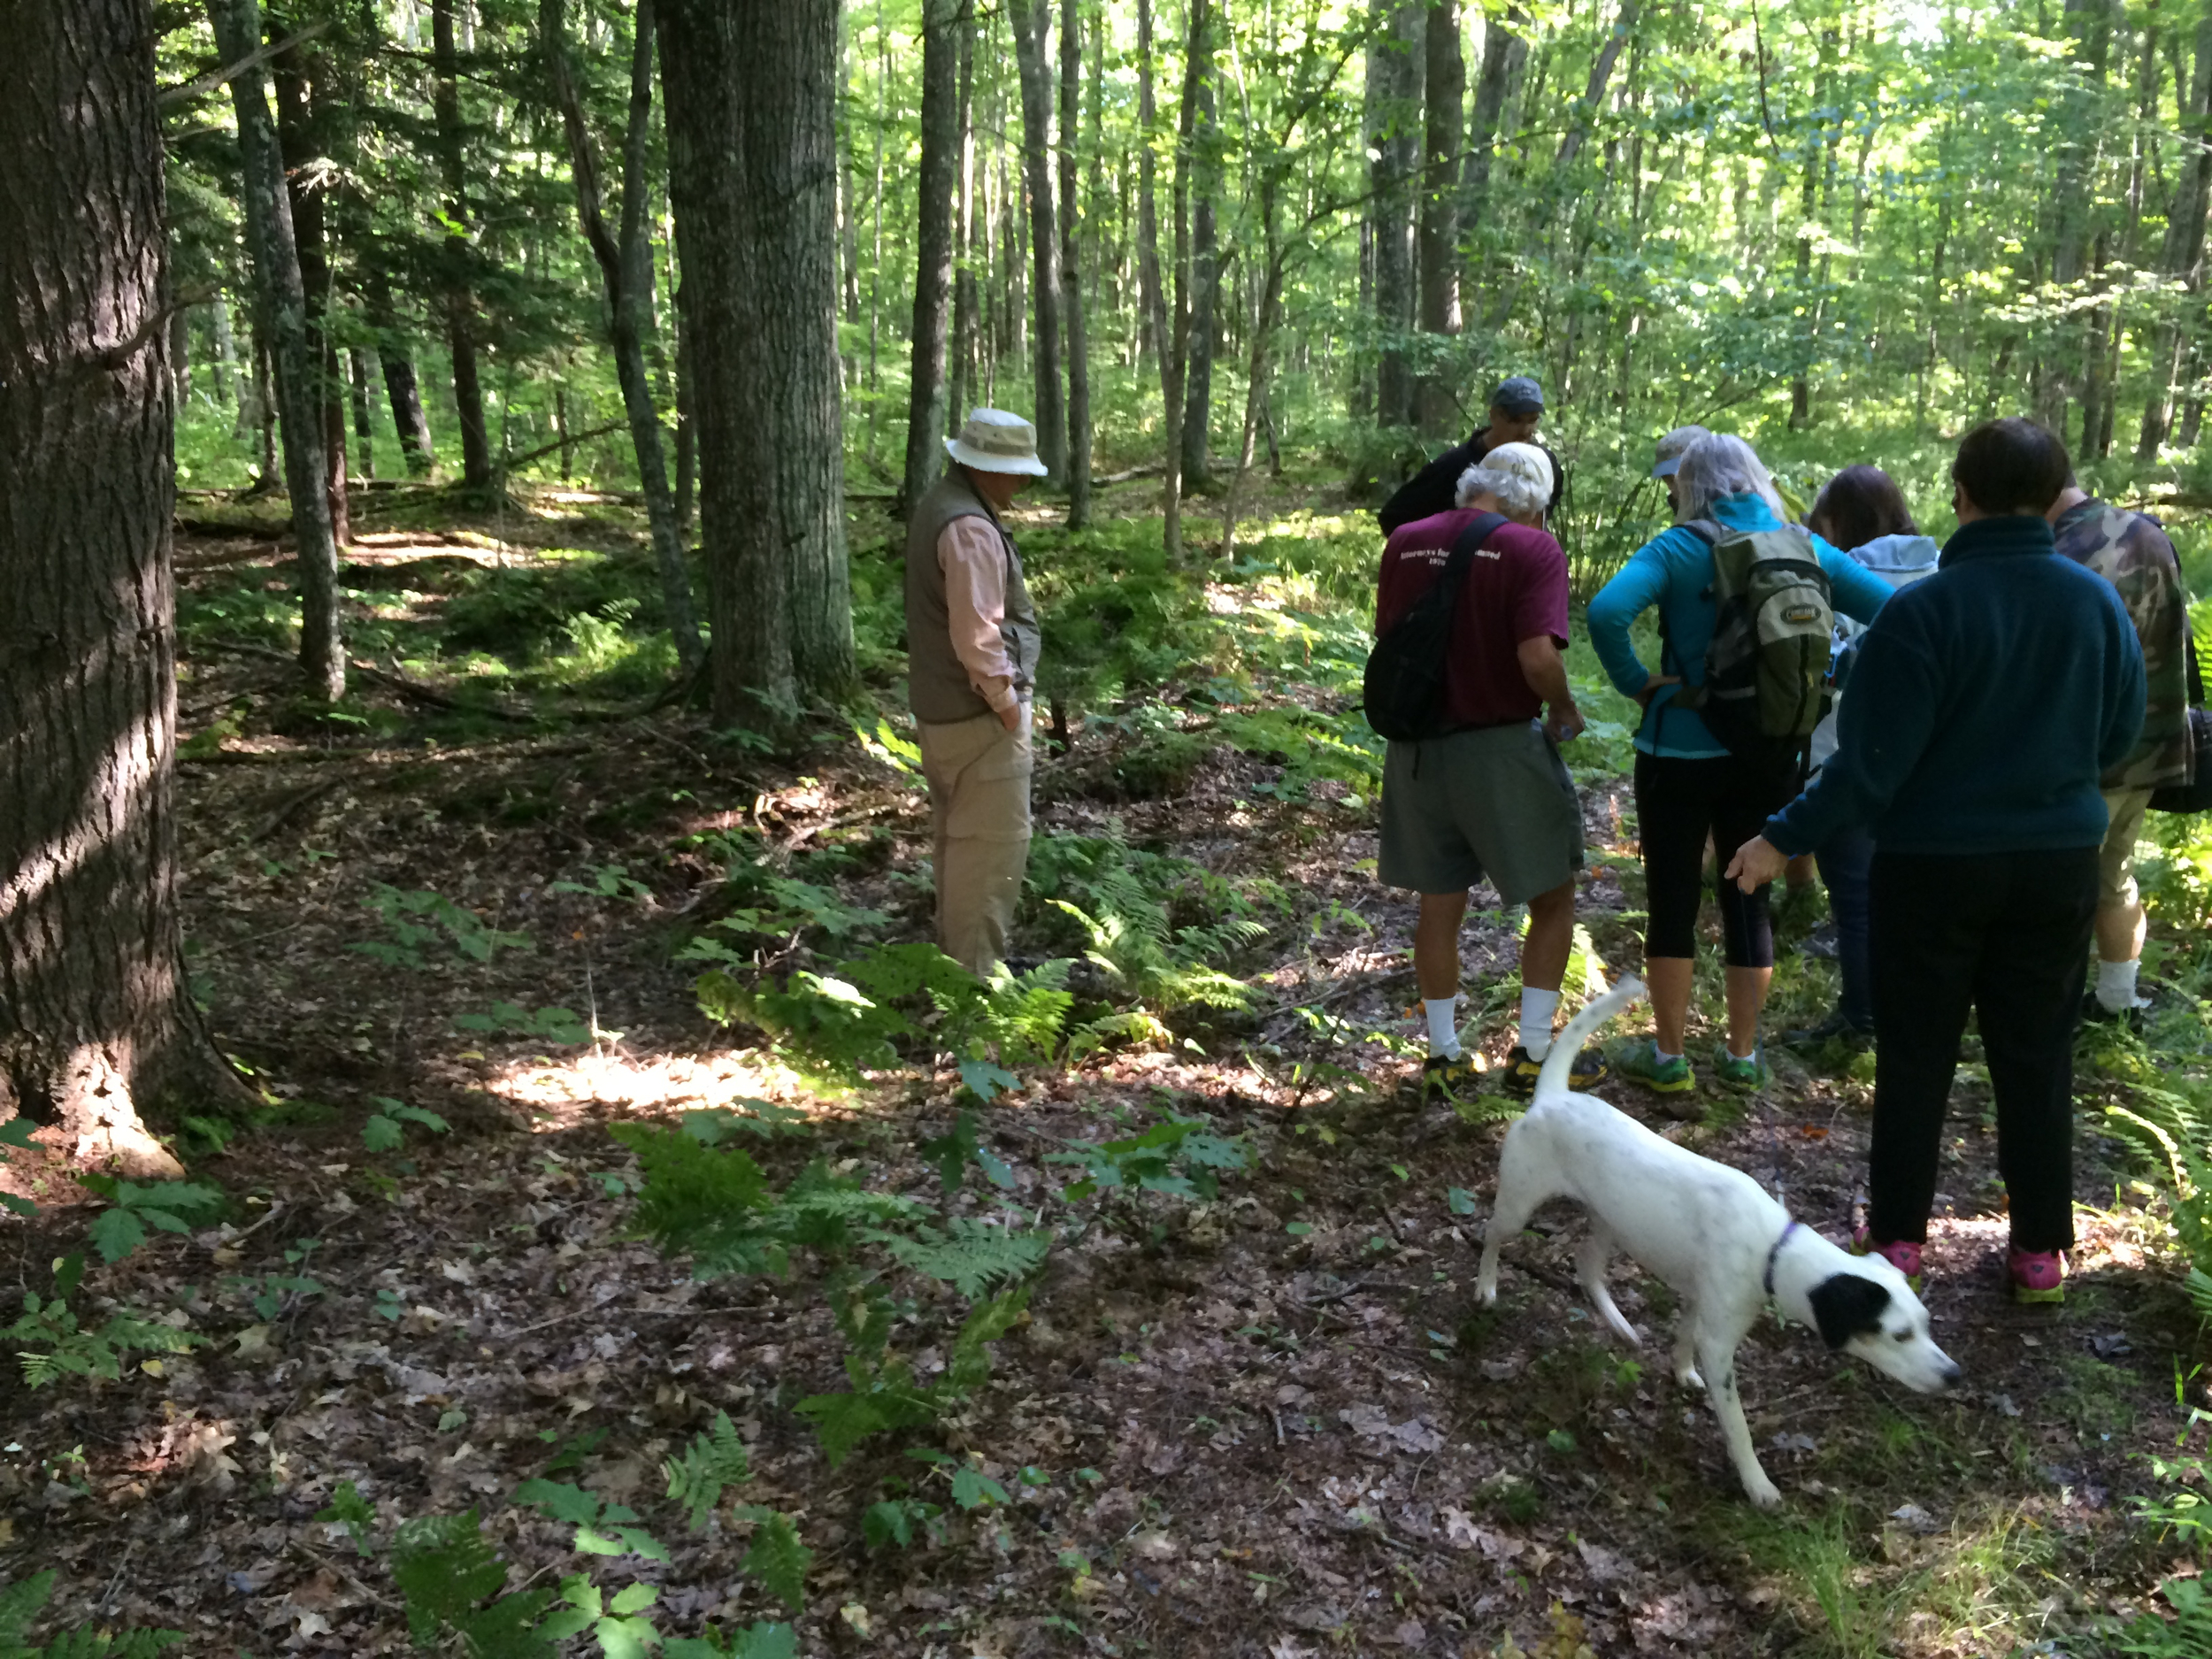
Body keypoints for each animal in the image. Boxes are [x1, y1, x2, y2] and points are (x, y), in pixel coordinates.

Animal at [1478, 973, 1964, 1504]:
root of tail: (1552, 1097)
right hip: (1519, 1206)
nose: (1955, 1376)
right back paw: (1486, 1289)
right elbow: (1738, 1426)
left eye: (1926, 1324)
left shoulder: (1699, 1302)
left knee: (1587, 1268)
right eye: (1899, 1335)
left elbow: (1683, 1339)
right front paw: (1757, 1483)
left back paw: (1621, 1326)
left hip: (1611, 1222)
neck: (1773, 1248)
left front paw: (1680, 1371)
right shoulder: (1719, 1345)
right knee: (1491, 1235)